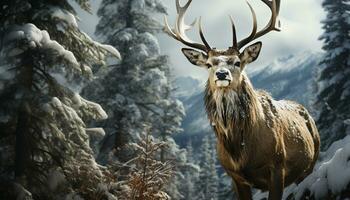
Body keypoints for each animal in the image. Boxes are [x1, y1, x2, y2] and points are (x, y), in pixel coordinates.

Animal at [164, 0, 320, 199]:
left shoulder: (278, 166)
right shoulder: (234, 176)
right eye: (208, 64)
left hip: (311, 163)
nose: (222, 74)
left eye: (237, 62)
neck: (241, 153)